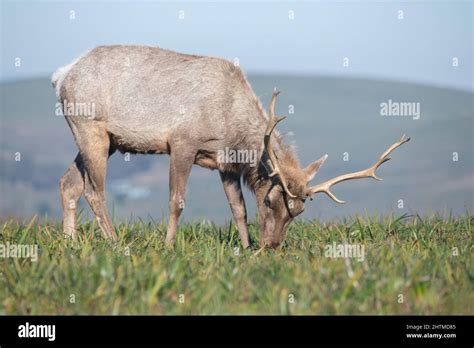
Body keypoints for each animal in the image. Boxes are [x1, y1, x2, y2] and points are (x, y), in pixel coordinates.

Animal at [53, 44, 410, 249]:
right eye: (270, 201)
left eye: (298, 212)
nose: (271, 246)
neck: (231, 128)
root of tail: (62, 75)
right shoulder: (182, 142)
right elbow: (176, 201)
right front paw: (169, 246)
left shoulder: (225, 164)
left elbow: (238, 209)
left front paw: (246, 246)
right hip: (91, 127)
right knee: (94, 190)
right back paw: (114, 242)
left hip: (107, 139)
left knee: (69, 182)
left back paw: (70, 243)